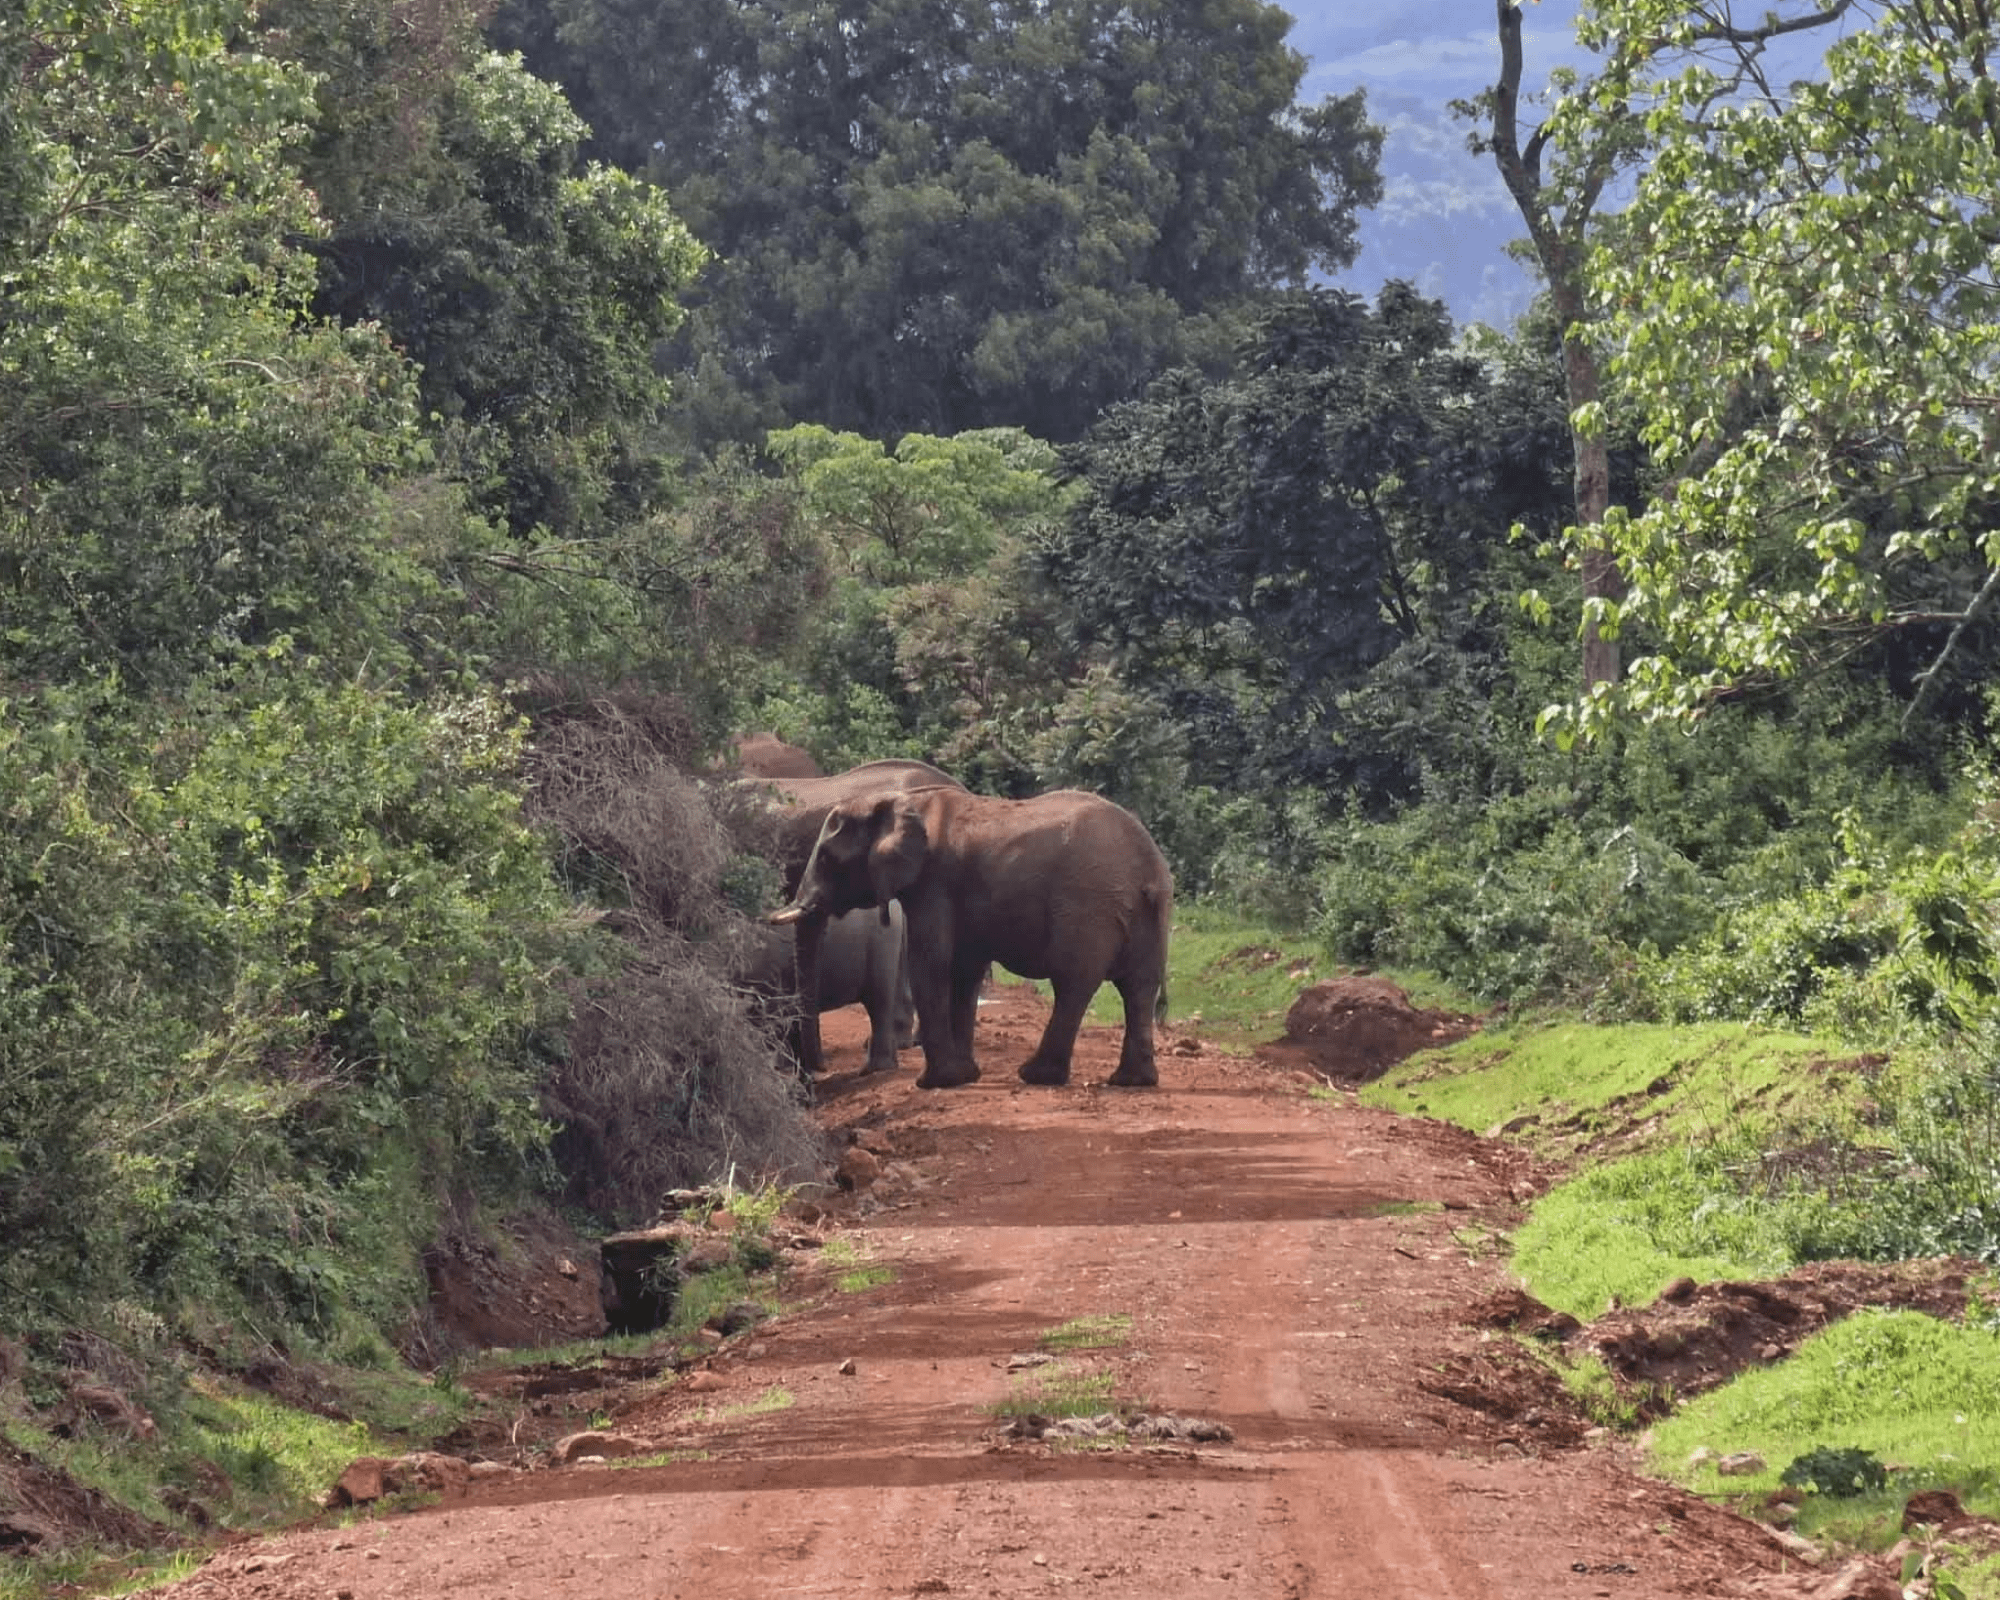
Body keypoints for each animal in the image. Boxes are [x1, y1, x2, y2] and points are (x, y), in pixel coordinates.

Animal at [768, 788, 1168, 1088]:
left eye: (825, 858)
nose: (818, 1070)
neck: (902, 802)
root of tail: (1150, 865)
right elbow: (964, 968)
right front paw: (965, 1075)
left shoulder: (934, 882)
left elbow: (930, 961)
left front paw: (936, 1083)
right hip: (1149, 916)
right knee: (1139, 988)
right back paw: (1132, 1081)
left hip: (1088, 907)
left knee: (1073, 984)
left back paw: (1036, 1076)